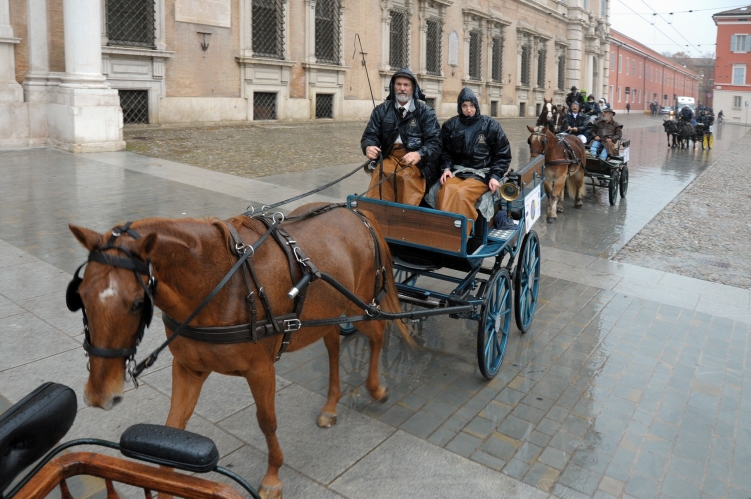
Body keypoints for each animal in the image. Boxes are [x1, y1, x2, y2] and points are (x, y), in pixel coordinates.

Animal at [69, 203, 412, 499]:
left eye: (137, 303)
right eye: (80, 295)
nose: (99, 395)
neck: (219, 283)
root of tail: (357, 211)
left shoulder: (261, 370)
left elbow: (267, 421)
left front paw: (273, 476)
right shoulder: (188, 368)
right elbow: (173, 426)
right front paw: (163, 483)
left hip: (362, 306)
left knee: (377, 334)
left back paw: (376, 388)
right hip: (327, 313)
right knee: (332, 346)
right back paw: (331, 404)